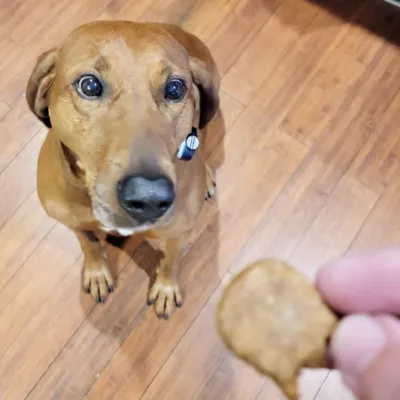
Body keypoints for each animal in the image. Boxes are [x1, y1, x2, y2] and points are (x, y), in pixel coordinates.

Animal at [26, 21, 220, 318]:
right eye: (89, 84)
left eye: (175, 89)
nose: (150, 197)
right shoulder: (73, 222)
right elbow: (90, 244)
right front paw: (97, 272)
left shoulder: (178, 233)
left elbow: (172, 261)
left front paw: (165, 288)